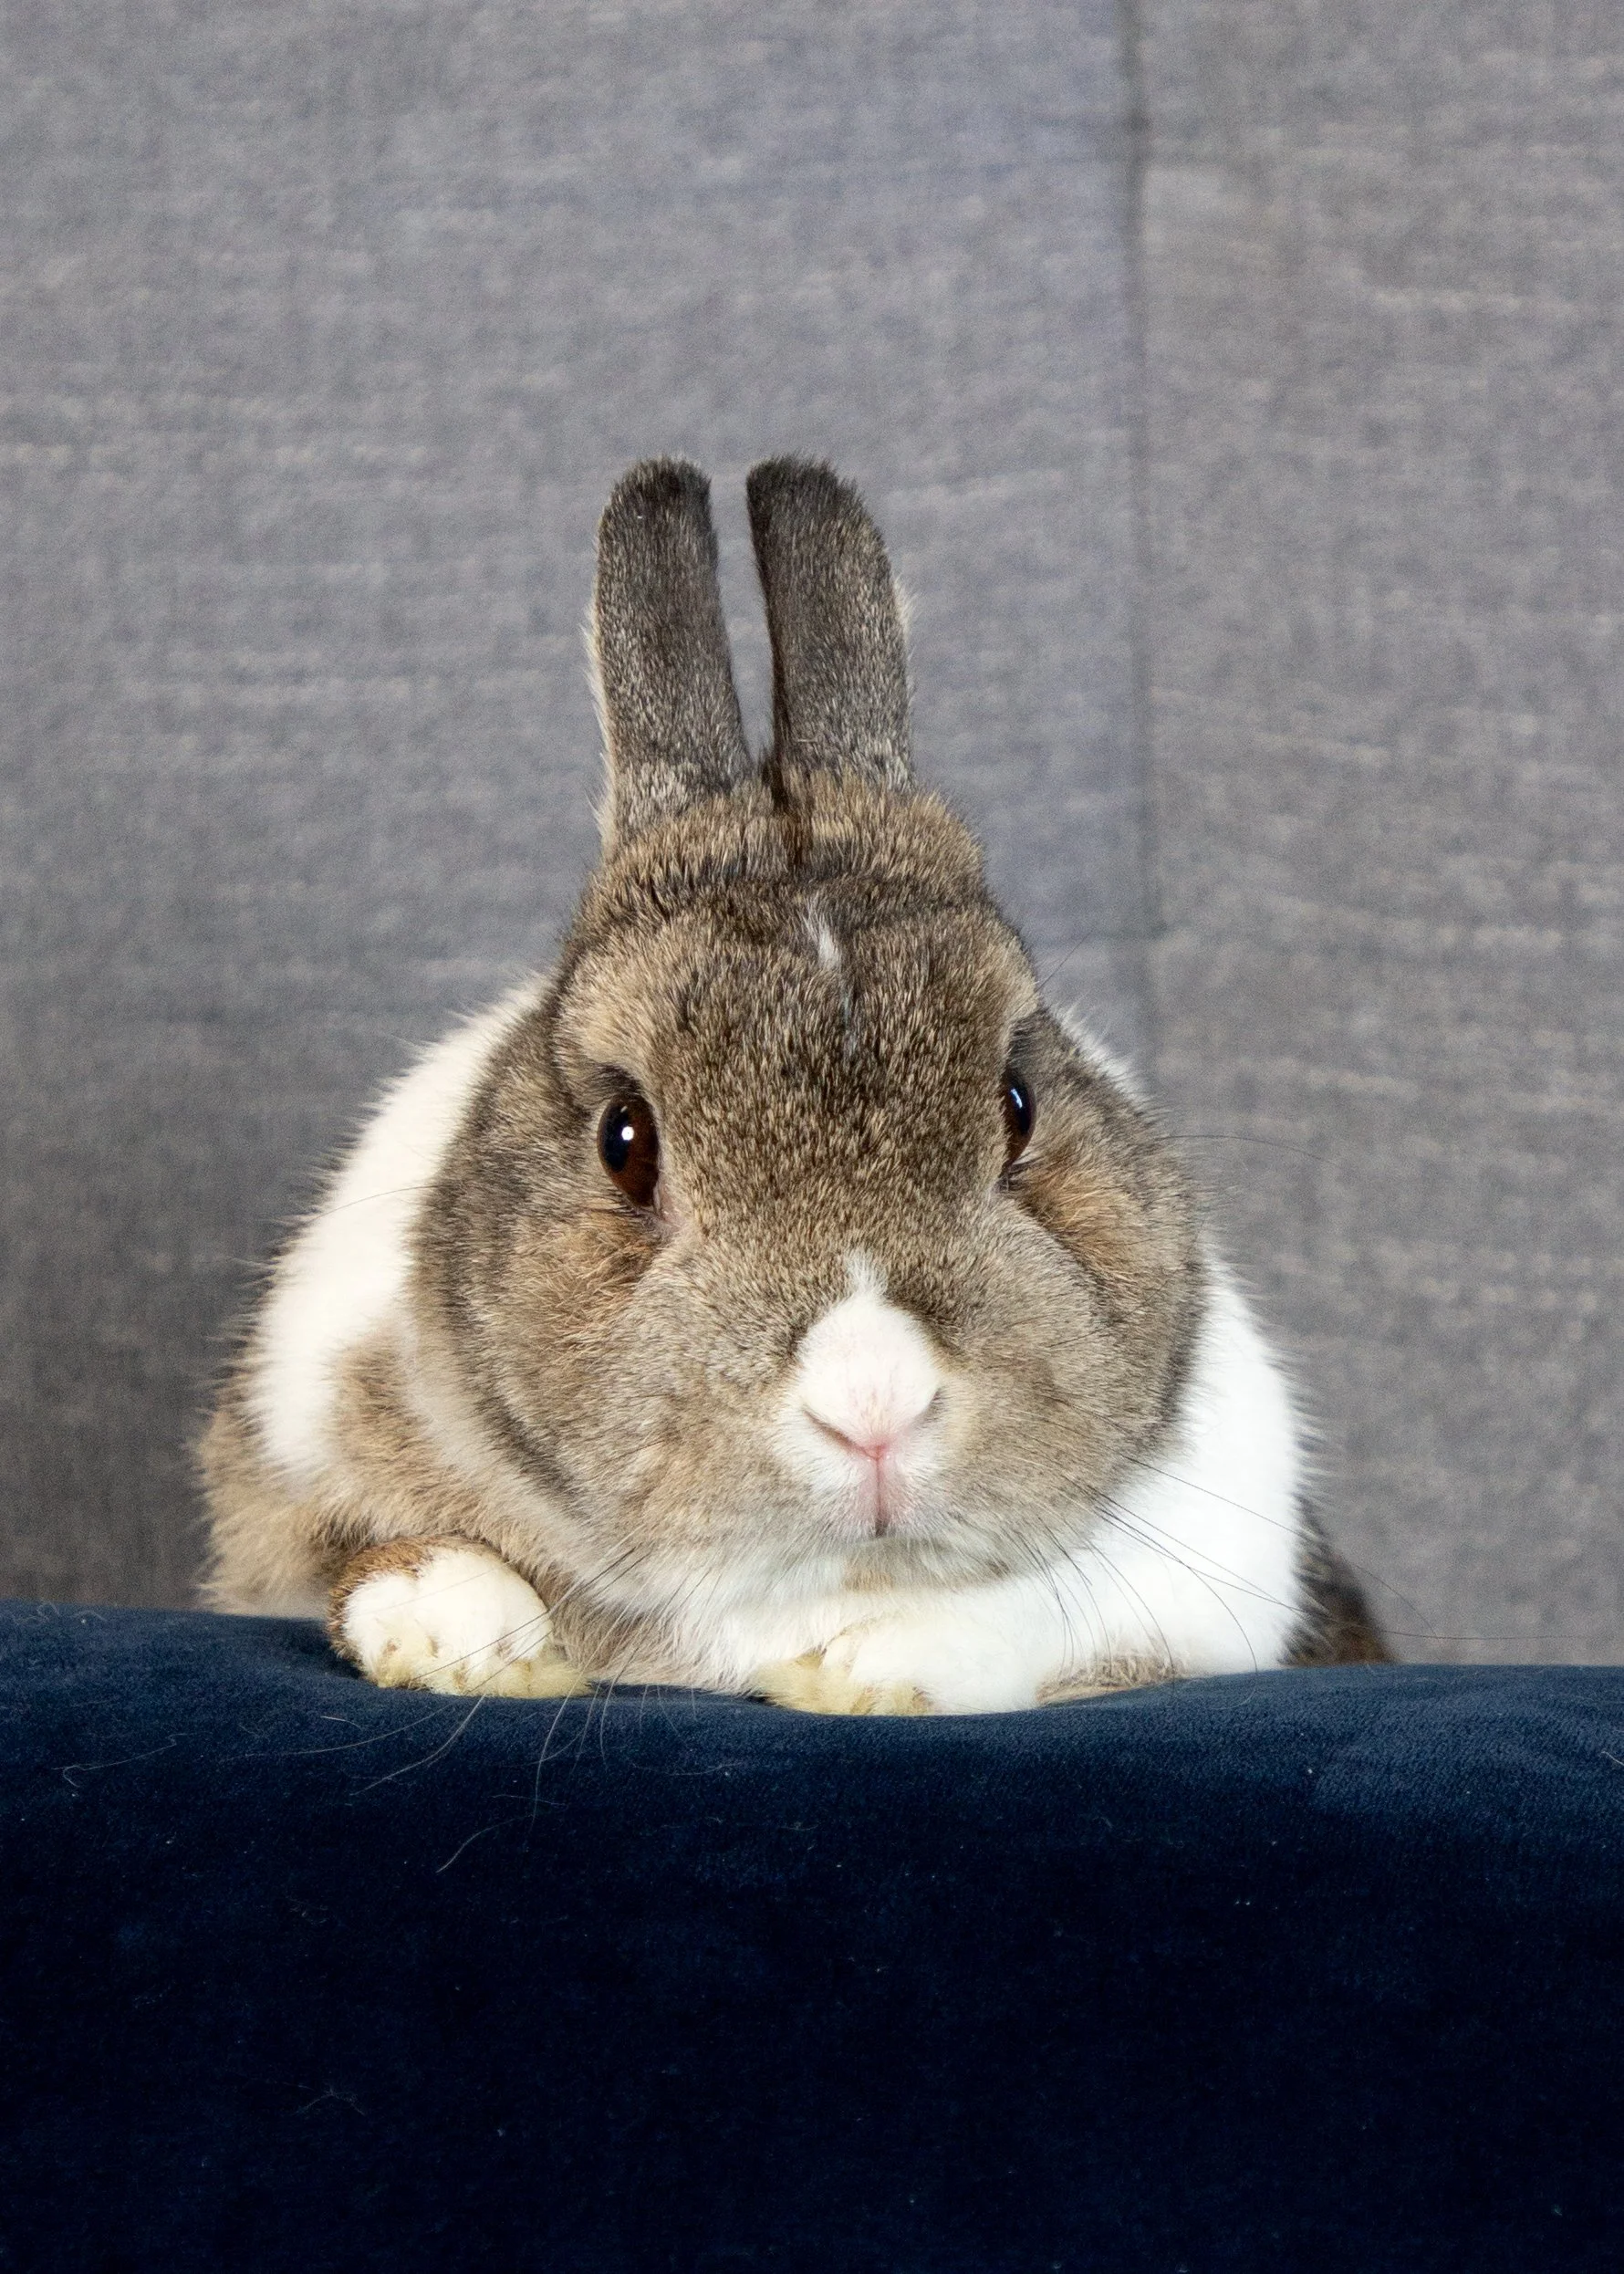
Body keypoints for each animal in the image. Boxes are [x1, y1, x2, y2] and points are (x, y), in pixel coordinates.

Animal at [201, 455, 1388, 1713]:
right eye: (626, 1139)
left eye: (1016, 1105)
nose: (874, 1409)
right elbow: (379, 1560)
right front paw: (459, 1632)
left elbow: (1014, 1625)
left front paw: (863, 1667)